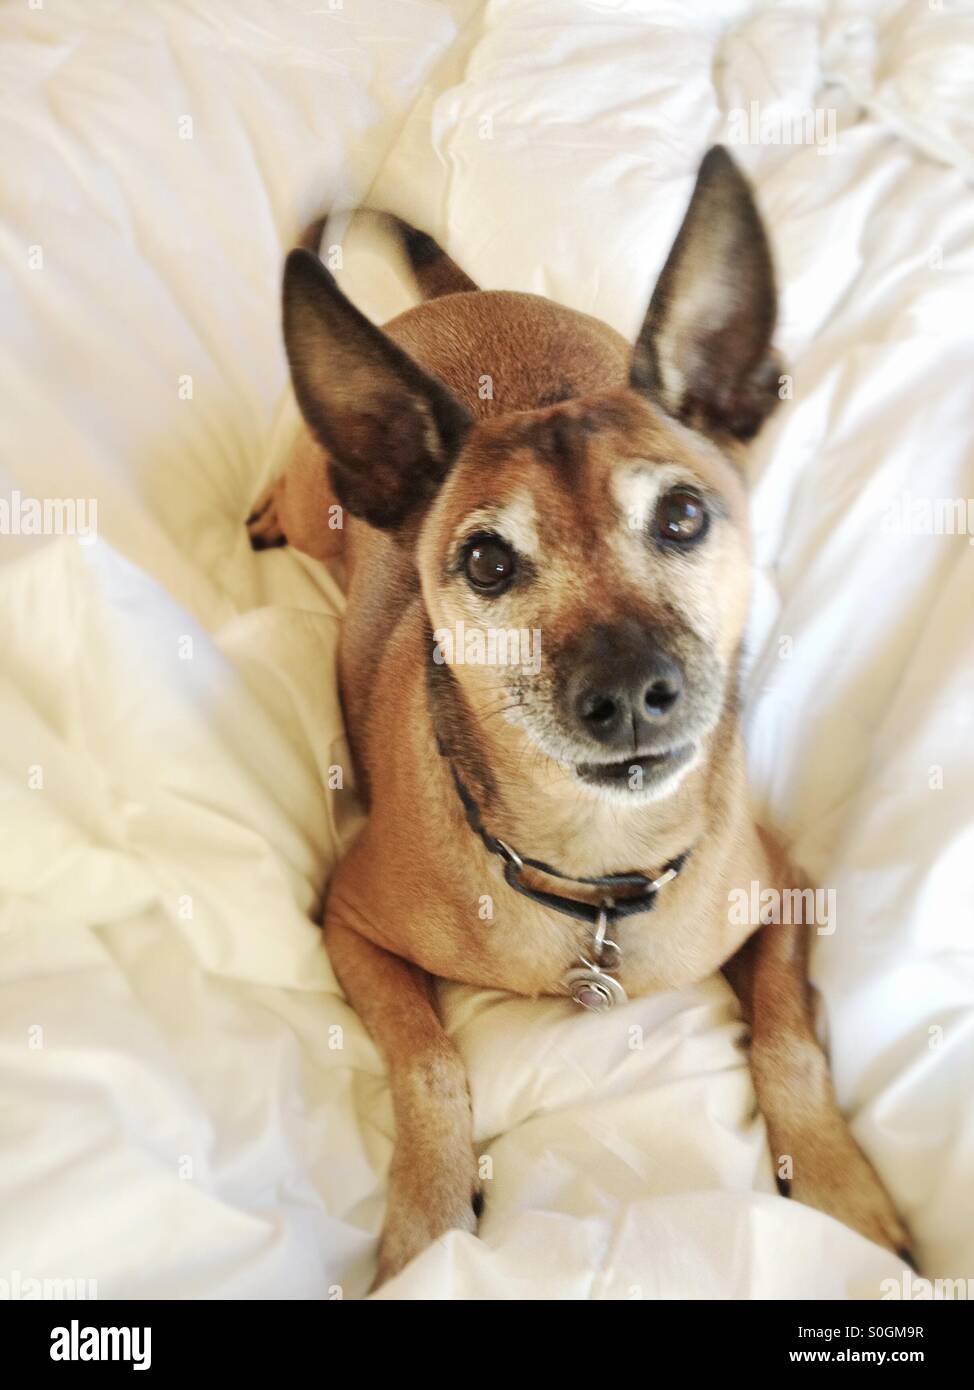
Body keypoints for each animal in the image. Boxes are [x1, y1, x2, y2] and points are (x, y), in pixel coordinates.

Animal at [250, 146, 911, 1284]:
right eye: (484, 561)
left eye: (682, 515)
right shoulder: (350, 925)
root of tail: (467, 297)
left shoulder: (784, 894)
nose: (629, 689)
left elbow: (788, 1039)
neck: (597, 868)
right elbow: (428, 1062)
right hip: (313, 496)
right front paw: (427, 1222)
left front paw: (837, 1188)